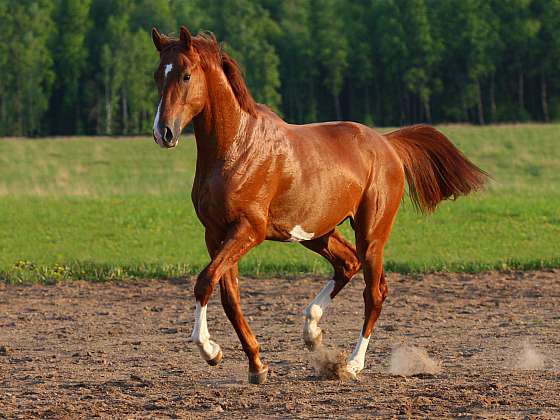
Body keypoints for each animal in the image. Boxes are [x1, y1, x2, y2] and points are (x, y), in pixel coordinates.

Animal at [151, 26, 488, 384]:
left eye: (186, 75)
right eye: (158, 75)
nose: (163, 132)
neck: (236, 148)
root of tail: (387, 143)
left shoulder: (249, 229)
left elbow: (205, 282)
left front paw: (209, 350)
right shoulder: (215, 233)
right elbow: (228, 295)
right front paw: (257, 365)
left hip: (371, 233)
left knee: (374, 291)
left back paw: (352, 364)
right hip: (318, 232)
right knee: (348, 264)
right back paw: (312, 332)